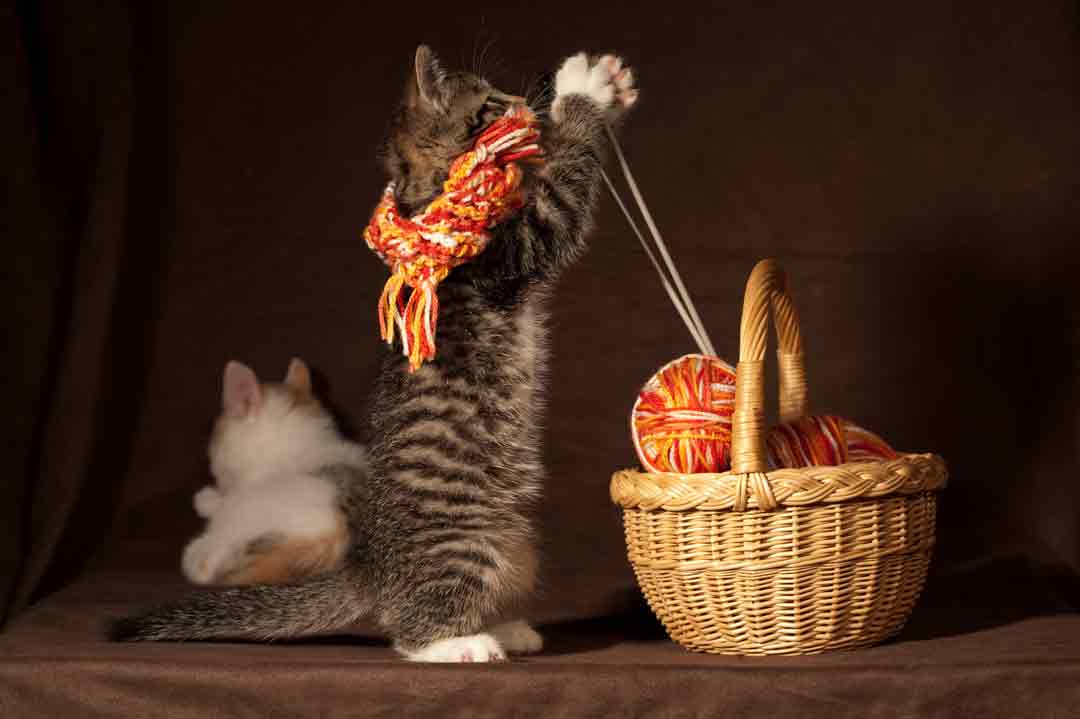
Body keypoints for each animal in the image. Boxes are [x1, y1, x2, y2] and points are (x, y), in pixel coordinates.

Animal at [111, 44, 630, 660]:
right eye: (491, 102)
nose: (526, 102)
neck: (430, 194)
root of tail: (370, 567)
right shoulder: (517, 247)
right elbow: (563, 189)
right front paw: (584, 90)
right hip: (468, 542)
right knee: (407, 631)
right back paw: (460, 645)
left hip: (519, 546)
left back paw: (505, 628)